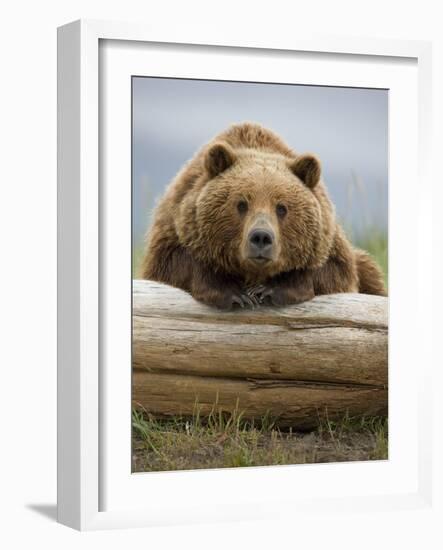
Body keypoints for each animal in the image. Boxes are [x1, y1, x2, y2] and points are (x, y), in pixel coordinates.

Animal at [140, 123, 386, 310]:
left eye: (282, 208)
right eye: (241, 204)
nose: (261, 237)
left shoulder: (328, 242)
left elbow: (334, 272)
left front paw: (269, 289)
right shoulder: (176, 224)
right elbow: (172, 264)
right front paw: (235, 293)